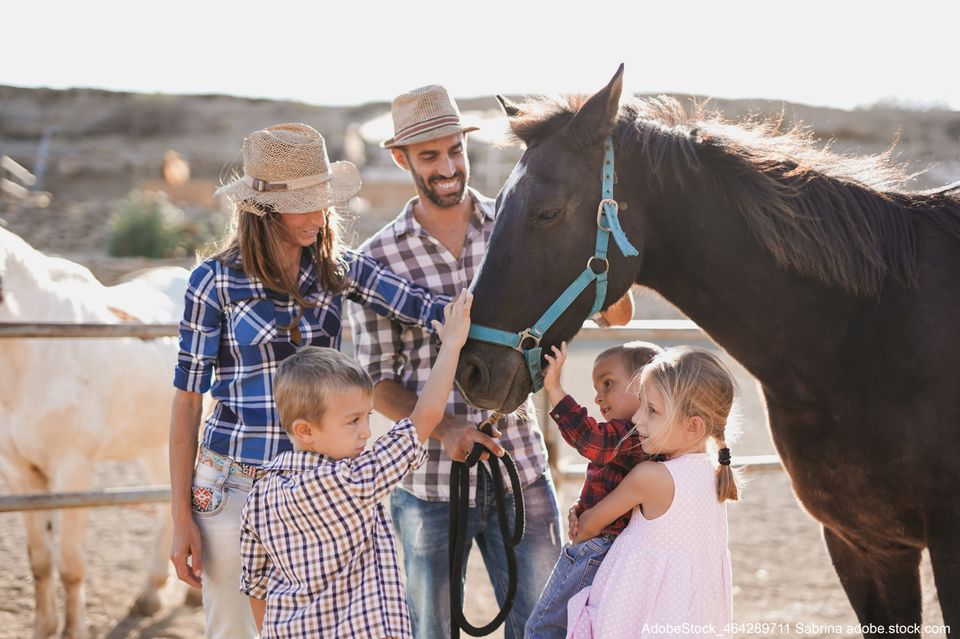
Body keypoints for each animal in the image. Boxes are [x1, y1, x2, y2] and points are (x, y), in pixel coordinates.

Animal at [0, 228, 191, 636]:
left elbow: (71, 565)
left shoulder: (72, 472)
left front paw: (74, 630)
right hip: (155, 443)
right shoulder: (21, 475)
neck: (35, 347)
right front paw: (44, 628)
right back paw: (151, 595)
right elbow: (40, 561)